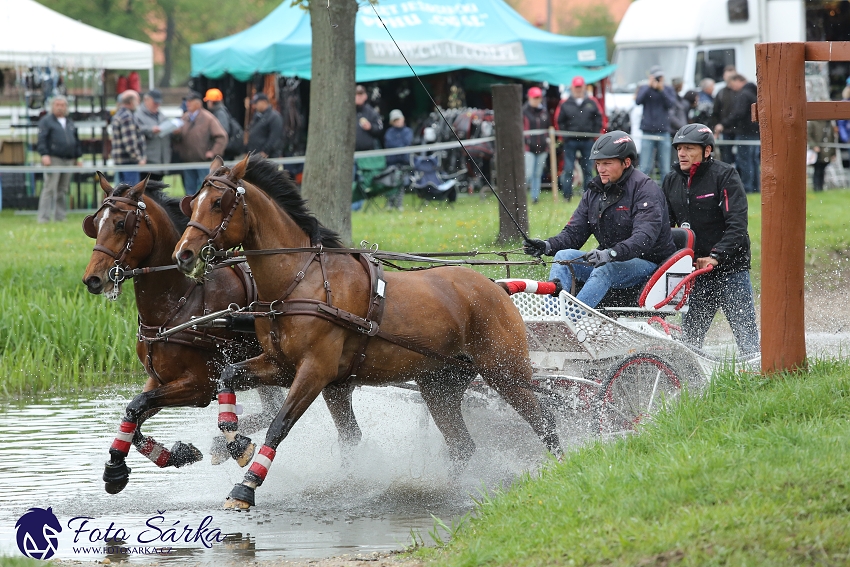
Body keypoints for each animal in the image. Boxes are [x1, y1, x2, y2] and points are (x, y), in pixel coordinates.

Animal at [78, 175, 360, 494]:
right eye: (94, 223)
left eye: (120, 223)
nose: (93, 279)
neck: (179, 300)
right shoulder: (159, 379)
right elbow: (133, 412)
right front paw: (156, 457)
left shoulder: (199, 386)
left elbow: (138, 405)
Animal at [171, 154, 560, 510]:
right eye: (193, 201)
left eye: (218, 203)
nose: (183, 254)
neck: (301, 280)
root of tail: (496, 286)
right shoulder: (281, 366)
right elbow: (227, 376)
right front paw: (236, 443)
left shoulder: (315, 371)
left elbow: (279, 424)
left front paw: (246, 486)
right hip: (441, 386)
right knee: (463, 445)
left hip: (505, 373)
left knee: (544, 421)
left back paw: (557, 470)